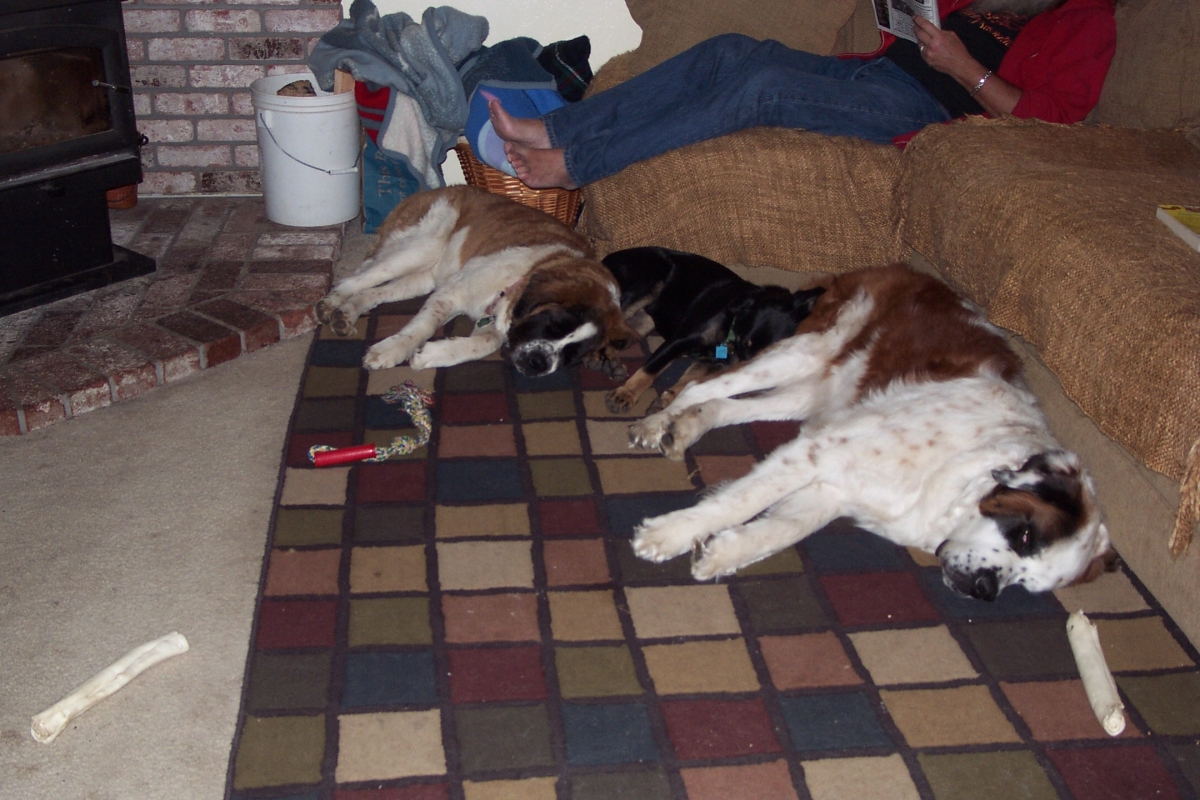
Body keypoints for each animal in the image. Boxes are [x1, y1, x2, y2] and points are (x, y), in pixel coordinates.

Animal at [316, 186, 634, 376]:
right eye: (553, 324)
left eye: (572, 354)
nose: (540, 363)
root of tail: (430, 190)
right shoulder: (450, 295)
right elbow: (422, 328)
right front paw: (391, 350)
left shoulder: (492, 320)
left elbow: (484, 343)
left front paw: (432, 355)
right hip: (418, 247)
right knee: (354, 279)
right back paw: (330, 304)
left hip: (422, 277)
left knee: (373, 292)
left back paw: (346, 314)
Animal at [600, 246, 825, 413]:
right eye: (744, 343)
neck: (731, 327)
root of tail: (604, 259)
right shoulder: (679, 340)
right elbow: (650, 369)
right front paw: (625, 395)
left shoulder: (714, 363)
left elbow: (692, 379)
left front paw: (667, 400)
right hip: (642, 289)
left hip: (643, 322)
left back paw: (612, 363)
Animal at [628, 263, 1115, 600]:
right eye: (1026, 536)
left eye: (1028, 583)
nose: (983, 589)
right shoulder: (821, 451)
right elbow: (741, 501)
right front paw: (667, 535)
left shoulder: (831, 486)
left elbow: (784, 528)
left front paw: (722, 554)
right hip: (799, 353)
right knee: (702, 385)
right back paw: (655, 423)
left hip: (812, 392)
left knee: (721, 403)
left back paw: (684, 427)